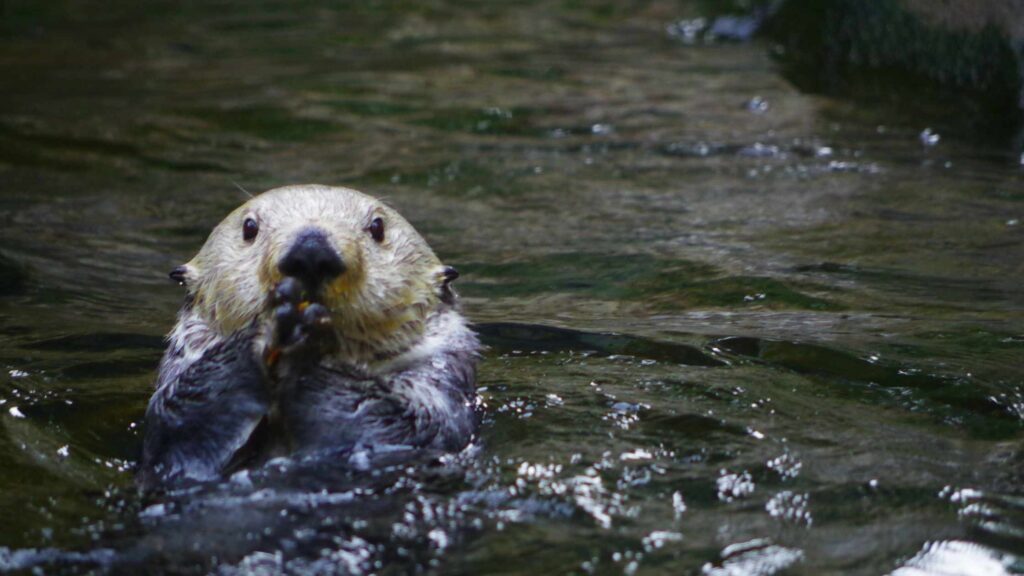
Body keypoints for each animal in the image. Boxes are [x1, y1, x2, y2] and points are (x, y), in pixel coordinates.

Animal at [137, 183, 483, 487]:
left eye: (377, 227)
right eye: (249, 227)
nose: (311, 252)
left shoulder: (439, 379)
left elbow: (403, 423)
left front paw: (310, 345)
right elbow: (174, 419)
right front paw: (262, 330)